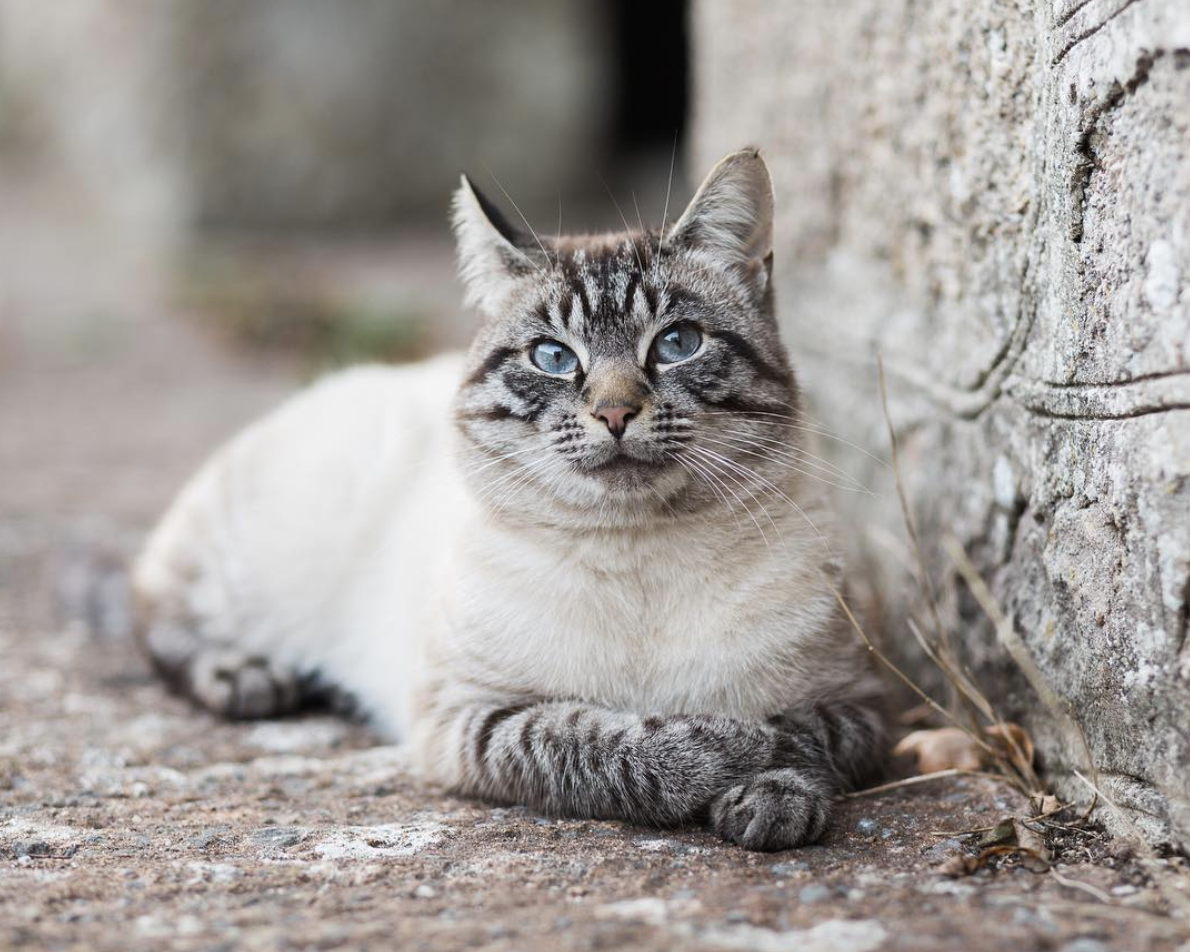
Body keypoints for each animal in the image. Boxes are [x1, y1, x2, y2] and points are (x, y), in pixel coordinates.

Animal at [135, 150, 890, 856]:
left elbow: (805, 735)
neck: (640, 552)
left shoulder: (865, 708)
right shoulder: (466, 716)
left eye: (677, 344)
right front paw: (726, 750)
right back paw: (248, 675)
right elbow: (606, 742)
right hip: (243, 573)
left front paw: (773, 797)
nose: (615, 413)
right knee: (153, 610)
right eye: (553, 358)